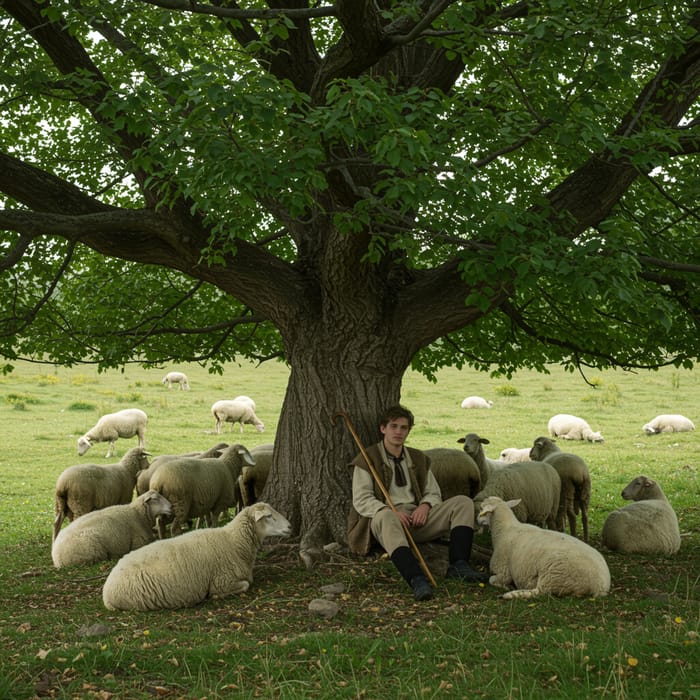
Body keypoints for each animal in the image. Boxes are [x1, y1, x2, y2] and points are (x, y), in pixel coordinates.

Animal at [102, 500, 292, 608]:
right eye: (268, 516)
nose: (290, 527)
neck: (234, 541)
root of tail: (106, 592)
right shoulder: (222, 582)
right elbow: (245, 585)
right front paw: (213, 597)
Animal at [478, 494, 608, 600]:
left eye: (482, 509)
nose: (478, 519)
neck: (504, 530)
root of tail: (600, 586)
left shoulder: (503, 572)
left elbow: (491, 579)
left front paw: (505, 586)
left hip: (555, 575)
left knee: (540, 592)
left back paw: (512, 594)